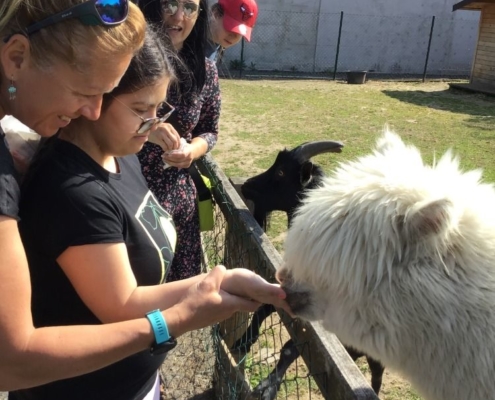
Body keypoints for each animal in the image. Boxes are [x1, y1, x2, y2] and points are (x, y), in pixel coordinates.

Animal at [238, 141, 386, 396]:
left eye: (280, 172)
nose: (247, 186)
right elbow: (264, 308)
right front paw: (244, 340)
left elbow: (293, 345)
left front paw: (268, 387)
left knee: (376, 375)